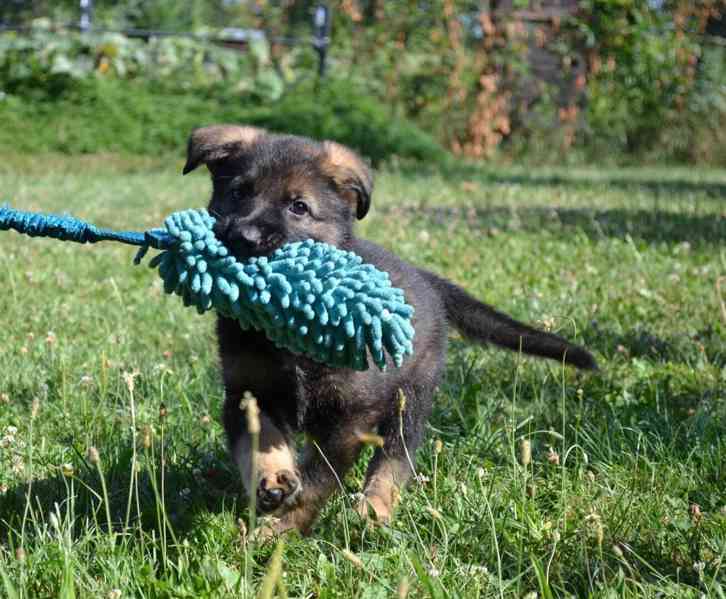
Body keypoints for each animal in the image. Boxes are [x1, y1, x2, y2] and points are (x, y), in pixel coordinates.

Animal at [183, 124, 596, 536]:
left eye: (298, 207)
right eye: (238, 193)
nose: (245, 238)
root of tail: (426, 278)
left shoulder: (349, 419)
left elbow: (319, 478)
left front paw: (281, 528)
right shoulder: (247, 392)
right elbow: (260, 444)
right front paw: (273, 482)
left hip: (411, 395)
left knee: (397, 454)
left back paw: (375, 505)